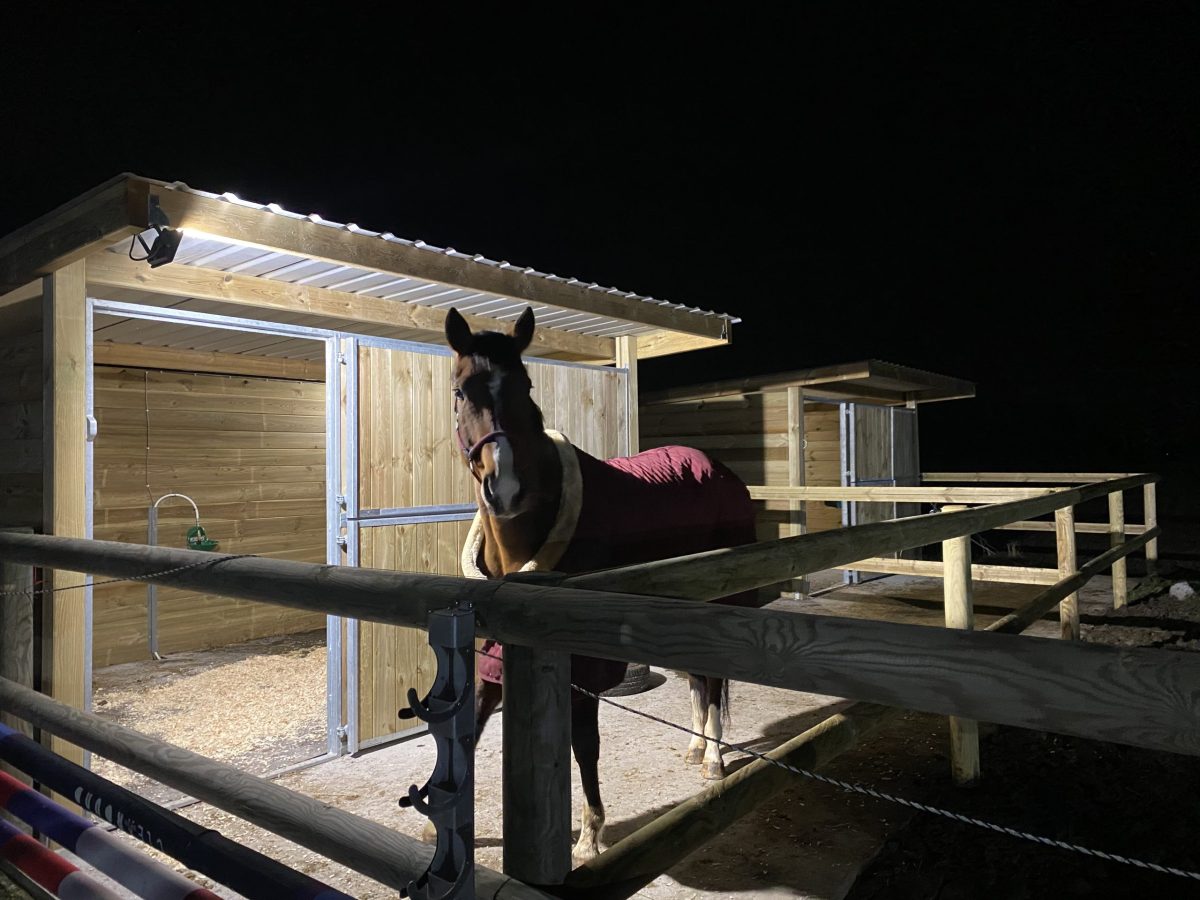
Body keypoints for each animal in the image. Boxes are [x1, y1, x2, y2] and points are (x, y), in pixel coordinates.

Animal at [443, 305, 758, 863]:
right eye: (462, 391)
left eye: (525, 386)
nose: (506, 488)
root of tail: (723, 474)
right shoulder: (492, 655)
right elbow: (471, 733)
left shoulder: (582, 668)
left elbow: (584, 748)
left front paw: (590, 835)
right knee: (699, 680)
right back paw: (697, 745)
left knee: (713, 678)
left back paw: (714, 760)